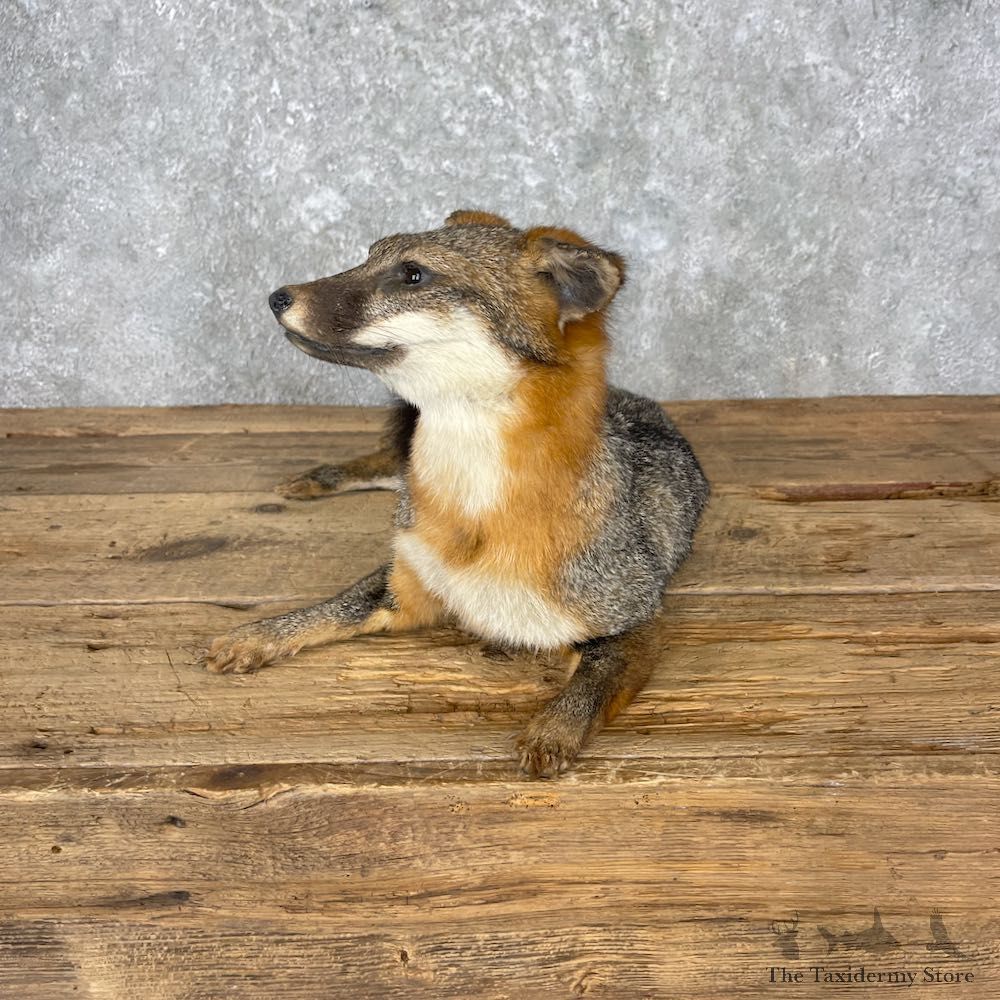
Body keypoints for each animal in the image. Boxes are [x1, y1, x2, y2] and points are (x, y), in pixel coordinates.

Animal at [203, 210, 709, 778]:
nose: (277, 296)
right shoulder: (404, 583)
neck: (472, 516)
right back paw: (315, 479)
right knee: (385, 462)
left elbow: (589, 687)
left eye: (413, 275)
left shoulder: (636, 620)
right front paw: (257, 635)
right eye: (368, 256)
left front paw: (551, 733)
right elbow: (329, 609)